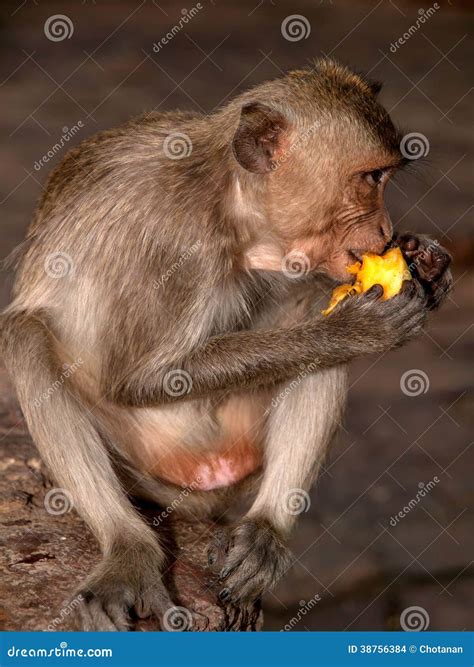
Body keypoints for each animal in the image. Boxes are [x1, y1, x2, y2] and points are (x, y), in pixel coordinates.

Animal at [0, 59, 452, 631]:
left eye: (386, 177)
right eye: (372, 178)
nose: (386, 228)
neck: (229, 202)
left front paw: (425, 260)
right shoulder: (176, 240)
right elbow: (138, 380)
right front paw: (352, 331)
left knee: (309, 310)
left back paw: (265, 530)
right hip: (148, 467)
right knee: (25, 335)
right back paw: (127, 546)